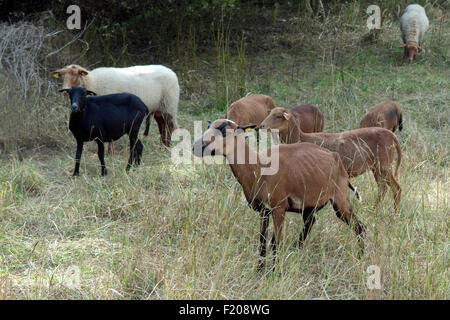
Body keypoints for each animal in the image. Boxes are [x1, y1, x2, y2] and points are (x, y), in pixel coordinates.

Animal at [192, 120, 366, 270]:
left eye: (223, 130)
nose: (195, 147)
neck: (257, 166)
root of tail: (335, 158)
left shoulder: (279, 208)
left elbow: (275, 242)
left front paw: (273, 271)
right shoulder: (264, 210)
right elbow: (262, 240)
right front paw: (259, 269)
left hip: (340, 200)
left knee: (360, 227)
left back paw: (360, 257)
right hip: (310, 203)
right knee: (310, 223)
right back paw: (297, 253)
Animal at [258, 107, 402, 212]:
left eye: (278, 116)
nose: (261, 126)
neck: (300, 138)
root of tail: (393, 137)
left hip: (384, 164)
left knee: (396, 188)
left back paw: (395, 214)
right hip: (376, 167)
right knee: (383, 187)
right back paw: (375, 209)